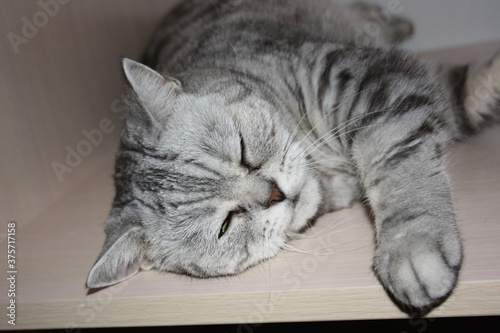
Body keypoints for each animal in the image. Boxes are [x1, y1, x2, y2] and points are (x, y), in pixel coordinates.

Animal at [87, 0, 500, 312]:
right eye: (225, 225)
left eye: (243, 151)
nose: (274, 194)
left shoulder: (363, 77)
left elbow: (395, 157)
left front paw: (412, 243)